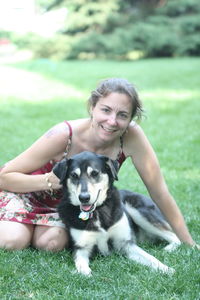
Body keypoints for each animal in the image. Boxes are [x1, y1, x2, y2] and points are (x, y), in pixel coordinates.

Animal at [52, 151, 180, 276]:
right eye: (74, 175)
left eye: (94, 173)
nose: (84, 198)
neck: (98, 211)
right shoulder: (81, 248)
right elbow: (82, 266)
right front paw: (86, 273)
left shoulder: (125, 244)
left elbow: (151, 258)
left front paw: (166, 269)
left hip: (139, 212)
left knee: (176, 237)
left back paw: (168, 249)